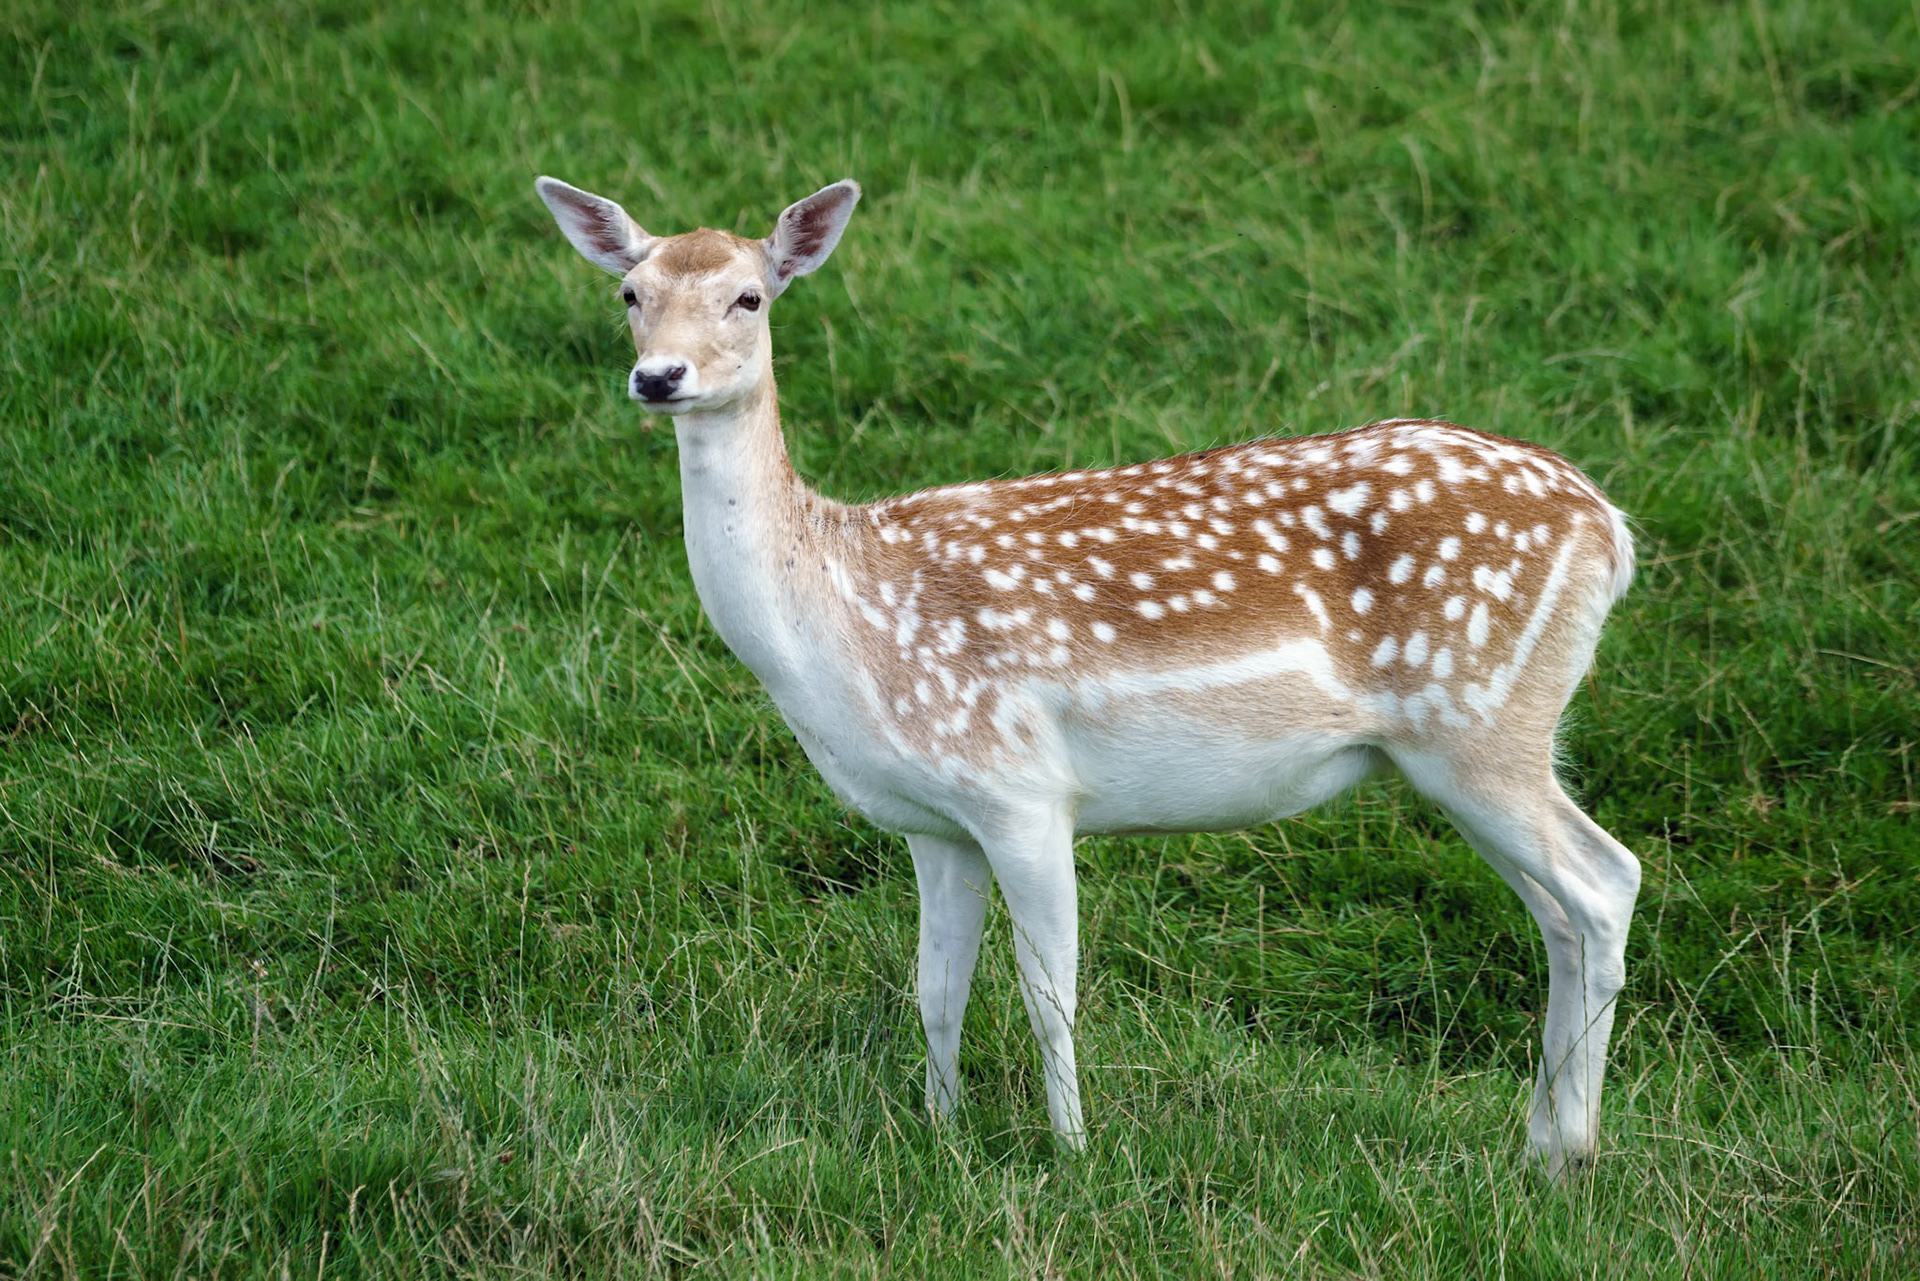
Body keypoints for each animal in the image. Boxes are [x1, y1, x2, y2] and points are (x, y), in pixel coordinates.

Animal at [533, 173, 1642, 1179]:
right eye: (629, 292)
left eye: (749, 296)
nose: (659, 377)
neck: (839, 626)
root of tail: (1611, 530)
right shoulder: (934, 820)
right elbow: (935, 989)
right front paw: (939, 1133)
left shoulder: (1020, 787)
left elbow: (1048, 992)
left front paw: (1072, 1155)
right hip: (1466, 745)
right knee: (1559, 911)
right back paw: (1543, 1141)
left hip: (1482, 721)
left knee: (1603, 883)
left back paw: (1574, 1151)